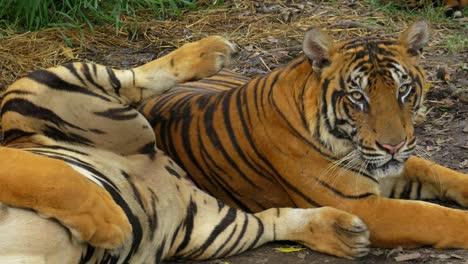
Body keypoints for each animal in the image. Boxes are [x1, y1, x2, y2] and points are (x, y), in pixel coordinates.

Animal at [0, 36, 372, 262]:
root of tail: (166, 166)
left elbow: (51, 179)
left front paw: (110, 223)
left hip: (43, 85)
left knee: (133, 79)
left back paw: (212, 50)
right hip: (210, 228)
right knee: (271, 219)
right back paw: (343, 235)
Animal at [139, 20, 468, 250]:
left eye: (404, 89)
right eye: (357, 96)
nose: (393, 146)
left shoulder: (394, 167)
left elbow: (442, 173)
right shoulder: (358, 205)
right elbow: (433, 217)